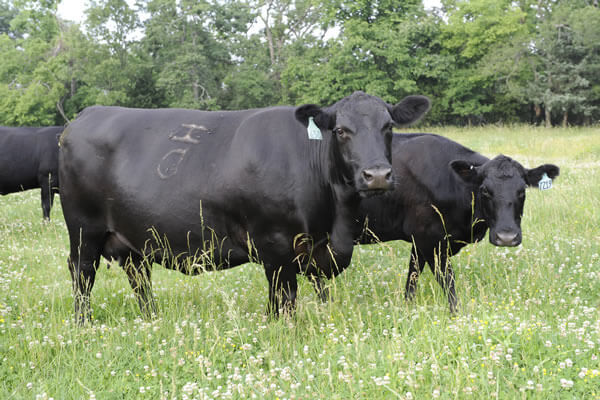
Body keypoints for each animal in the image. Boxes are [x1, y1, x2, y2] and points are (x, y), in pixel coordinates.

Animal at [58, 91, 428, 322]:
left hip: (131, 236)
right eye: (340, 130)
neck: (335, 219)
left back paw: (152, 319)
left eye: (389, 126)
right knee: (83, 273)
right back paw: (83, 324)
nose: (377, 175)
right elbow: (283, 301)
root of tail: (88, 114)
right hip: (84, 229)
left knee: (139, 276)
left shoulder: (316, 250)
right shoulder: (275, 245)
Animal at [356, 134, 556, 312]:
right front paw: (456, 315)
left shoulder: (419, 241)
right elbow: (448, 283)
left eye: (522, 191)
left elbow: (412, 277)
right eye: (485, 190)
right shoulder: (429, 239)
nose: (506, 237)